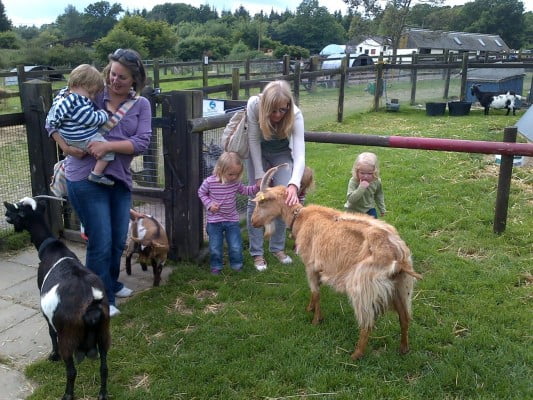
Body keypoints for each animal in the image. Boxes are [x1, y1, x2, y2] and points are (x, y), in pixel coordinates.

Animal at [2, 197, 111, 400]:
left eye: (13, 213)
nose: (7, 218)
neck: (52, 249)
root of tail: (91, 307)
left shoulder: (47, 315)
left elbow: (51, 332)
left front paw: (53, 355)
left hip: (68, 338)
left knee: (71, 371)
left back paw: (67, 395)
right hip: (104, 335)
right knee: (104, 368)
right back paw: (102, 394)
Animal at [251, 165, 422, 360]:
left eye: (261, 203)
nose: (253, 222)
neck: (300, 217)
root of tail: (397, 256)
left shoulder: (310, 265)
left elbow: (316, 292)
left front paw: (316, 320)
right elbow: (315, 292)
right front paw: (310, 308)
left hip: (363, 289)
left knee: (367, 324)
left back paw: (355, 355)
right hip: (401, 288)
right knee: (404, 318)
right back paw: (403, 348)